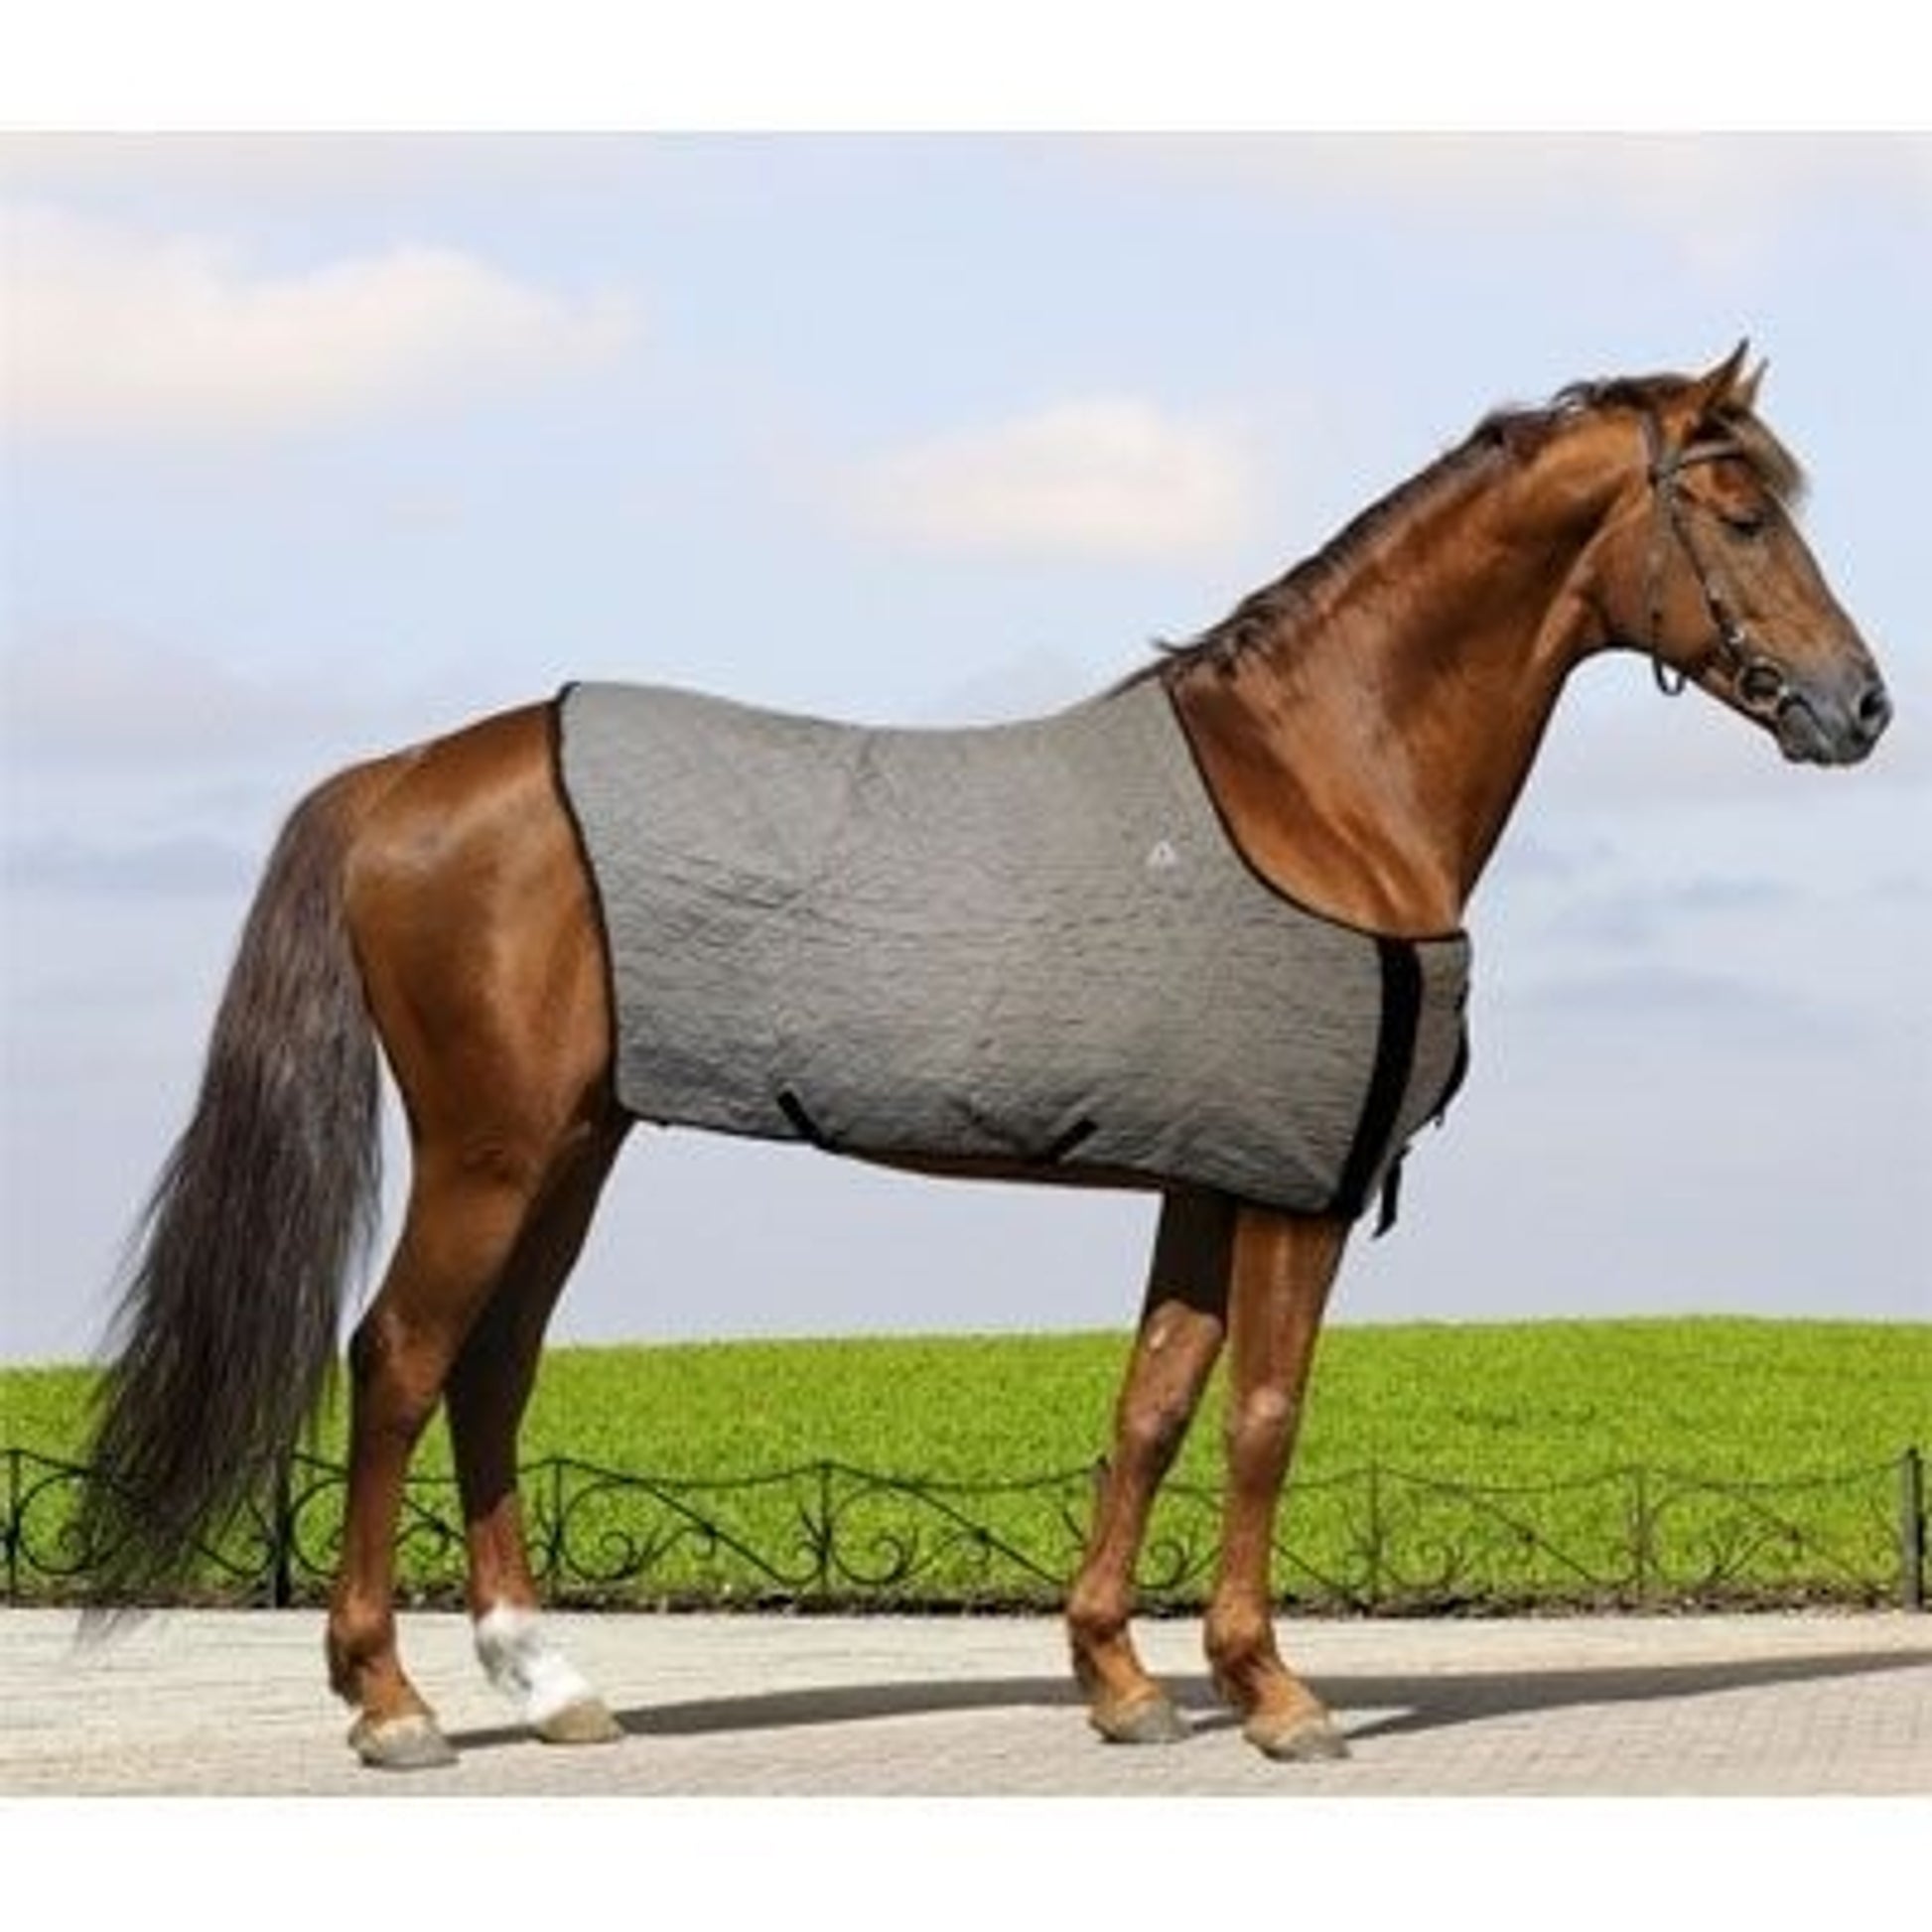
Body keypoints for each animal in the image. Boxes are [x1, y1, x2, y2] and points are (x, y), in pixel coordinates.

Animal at [76, 346, 1891, 1769]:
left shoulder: (1207, 1172)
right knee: (396, 1359)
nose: (1858, 707)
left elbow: (1152, 1401)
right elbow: (1264, 1413)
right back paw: (390, 1703)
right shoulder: (1298, 1182)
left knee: (493, 1367)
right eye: (1742, 514)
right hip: (492, 1147)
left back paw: (550, 1680)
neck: (1317, 781)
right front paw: (1273, 1691)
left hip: (574, 1146)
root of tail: (401, 778)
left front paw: (1120, 1680)